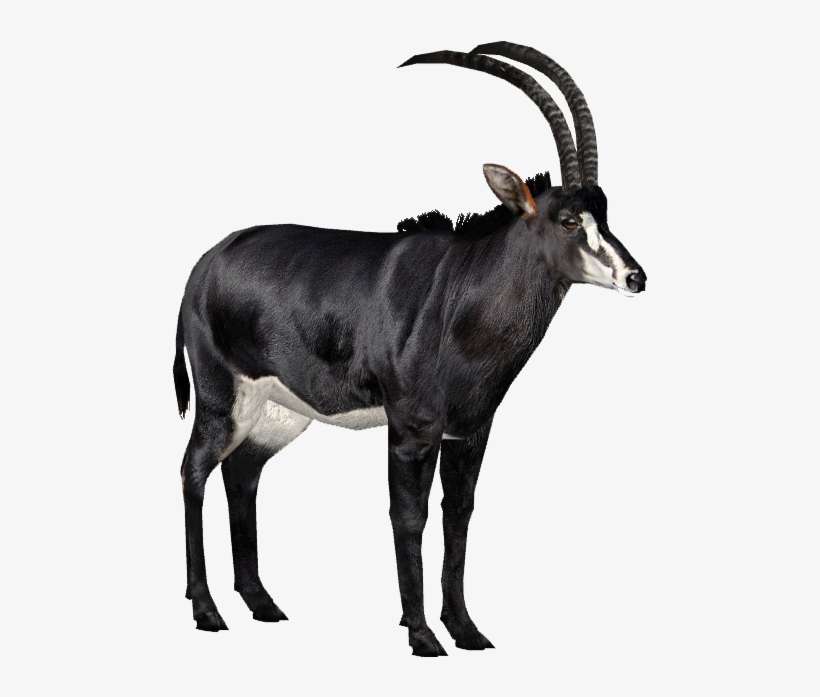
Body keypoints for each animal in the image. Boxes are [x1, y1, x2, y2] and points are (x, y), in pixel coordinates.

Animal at [173, 41, 646, 656]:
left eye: (604, 213)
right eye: (567, 219)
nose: (636, 277)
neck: (462, 293)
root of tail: (206, 264)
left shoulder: (469, 431)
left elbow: (458, 514)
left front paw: (466, 630)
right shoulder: (410, 430)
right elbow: (410, 516)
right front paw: (422, 635)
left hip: (277, 414)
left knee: (242, 473)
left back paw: (262, 604)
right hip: (219, 400)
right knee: (194, 470)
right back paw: (207, 611)